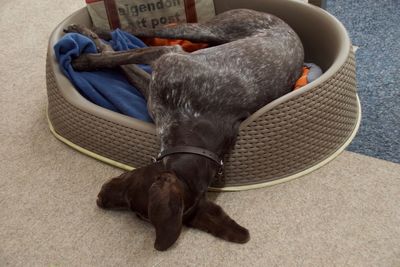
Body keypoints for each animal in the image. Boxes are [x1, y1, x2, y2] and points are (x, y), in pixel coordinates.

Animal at [66, 7, 304, 251]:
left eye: (135, 207)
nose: (99, 199)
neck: (194, 132)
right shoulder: (168, 53)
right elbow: (118, 55)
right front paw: (85, 58)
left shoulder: (156, 85)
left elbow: (120, 60)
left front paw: (88, 55)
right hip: (202, 30)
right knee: (134, 30)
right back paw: (90, 29)